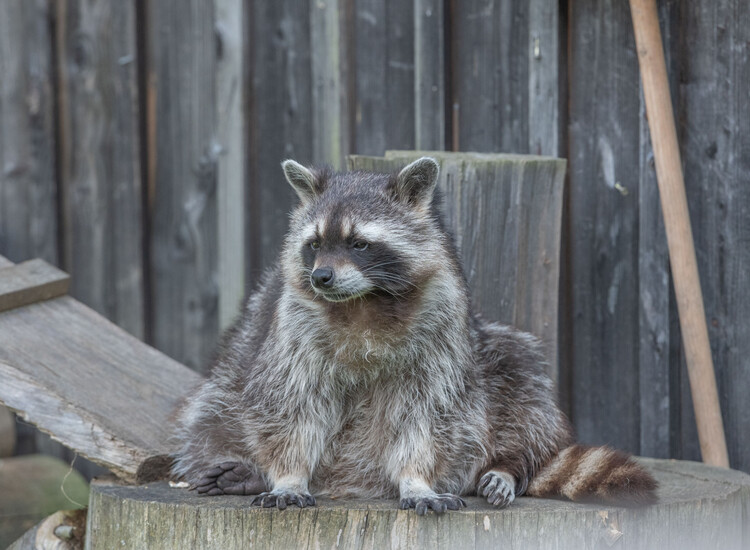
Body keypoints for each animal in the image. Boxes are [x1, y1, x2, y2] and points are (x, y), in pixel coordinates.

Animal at [172, 157, 656, 516]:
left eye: (359, 243)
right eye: (314, 243)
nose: (320, 277)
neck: (363, 300)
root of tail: (349, 484)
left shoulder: (441, 333)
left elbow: (429, 413)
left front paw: (417, 479)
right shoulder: (291, 329)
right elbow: (289, 403)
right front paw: (288, 473)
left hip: (491, 348)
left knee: (522, 380)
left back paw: (507, 465)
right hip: (234, 365)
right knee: (214, 408)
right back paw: (249, 468)